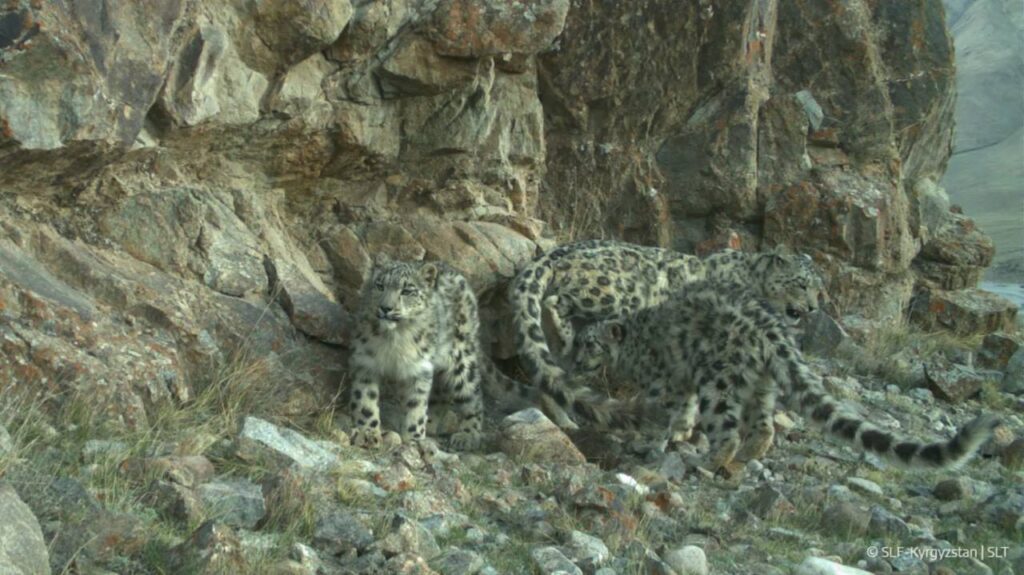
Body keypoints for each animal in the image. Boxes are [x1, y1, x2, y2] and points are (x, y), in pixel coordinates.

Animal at [570, 280, 999, 471]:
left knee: (727, 427)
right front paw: (677, 435)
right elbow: (684, 415)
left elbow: (669, 412)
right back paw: (747, 454)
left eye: (589, 344)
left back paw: (714, 459)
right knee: (763, 426)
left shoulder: (666, 383)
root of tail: (771, 329)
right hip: (760, 385)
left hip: (719, 383)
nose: (572, 362)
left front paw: (656, 439)